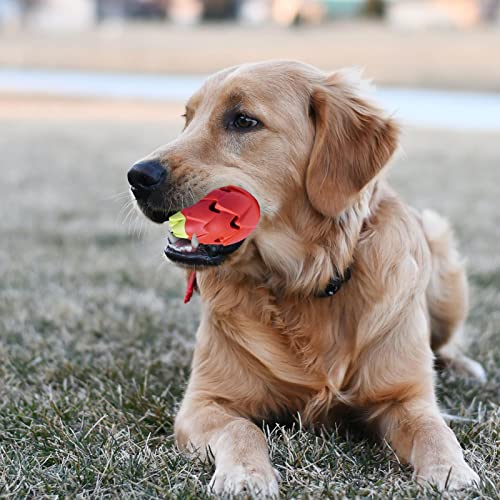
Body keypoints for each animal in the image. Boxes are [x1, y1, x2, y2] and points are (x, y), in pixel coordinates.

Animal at [128, 60, 484, 494]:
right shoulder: (205, 402)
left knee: (445, 342)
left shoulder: (406, 397)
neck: (303, 282)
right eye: (188, 118)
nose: (137, 176)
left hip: (441, 254)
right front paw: (246, 474)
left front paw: (452, 471)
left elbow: (434, 430)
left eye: (243, 120)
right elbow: (242, 430)